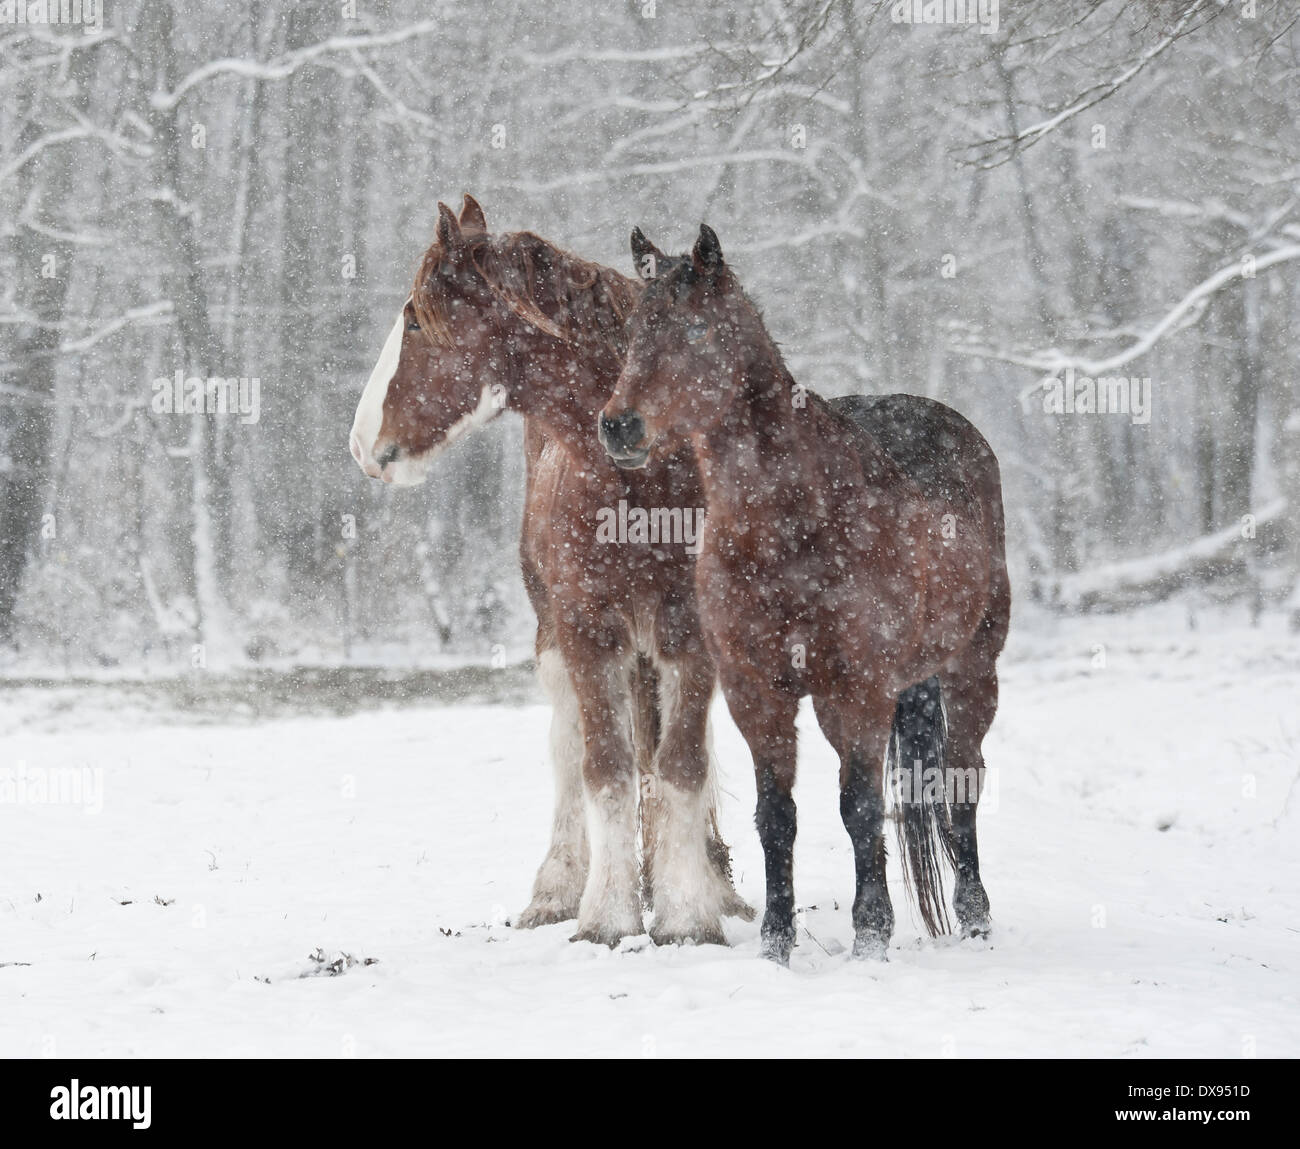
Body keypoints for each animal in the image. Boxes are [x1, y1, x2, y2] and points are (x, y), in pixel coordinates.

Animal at [349, 198, 753, 946]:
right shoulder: (587, 628)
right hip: (553, 637)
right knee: (568, 746)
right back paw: (560, 886)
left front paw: (687, 913)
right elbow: (605, 767)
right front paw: (607, 916)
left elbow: (682, 764)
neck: (641, 478)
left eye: (416, 320)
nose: (362, 445)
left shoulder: (689, 631)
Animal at [598, 224, 1010, 963]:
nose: (619, 426)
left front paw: (871, 934)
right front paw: (776, 940)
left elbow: (860, 807)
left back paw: (975, 916)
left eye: (697, 328)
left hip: (971, 674)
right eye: (636, 329)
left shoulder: (860, 690)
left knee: (960, 787)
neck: (790, 525)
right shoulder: (756, 691)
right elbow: (777, 816)